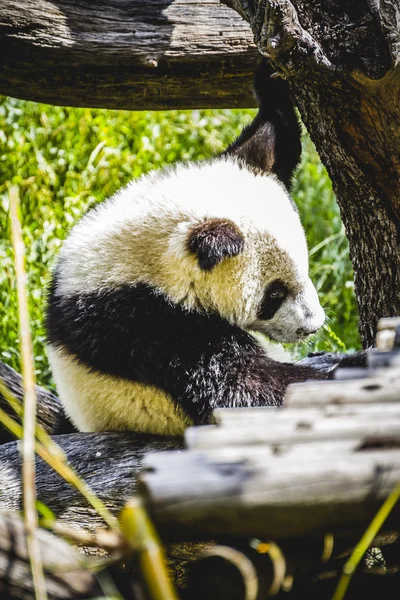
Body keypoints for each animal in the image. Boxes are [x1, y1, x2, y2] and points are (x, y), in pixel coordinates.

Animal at [45, 59, 364, 436]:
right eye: (274, 293)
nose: (311, 326)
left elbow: (272, 142)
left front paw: (271, 85)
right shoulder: (142, 324)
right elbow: (241, 388)